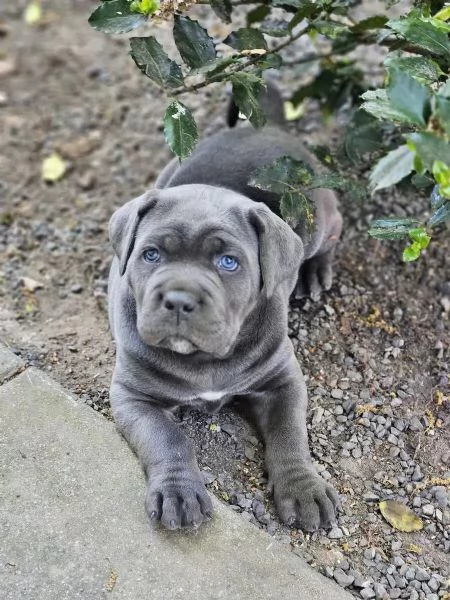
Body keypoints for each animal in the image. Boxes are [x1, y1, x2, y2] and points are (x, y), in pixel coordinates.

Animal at [107, 88, 342, 528]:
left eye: (228, 262)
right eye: (151, 254)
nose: (179, 300)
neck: (206, 359)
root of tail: (263, 125)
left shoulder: (283, 380)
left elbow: (290, 433)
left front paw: (303, 489)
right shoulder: (133, 396)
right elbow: (169, 439)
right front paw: (179, 493)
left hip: (314, 214)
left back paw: (314, 271)